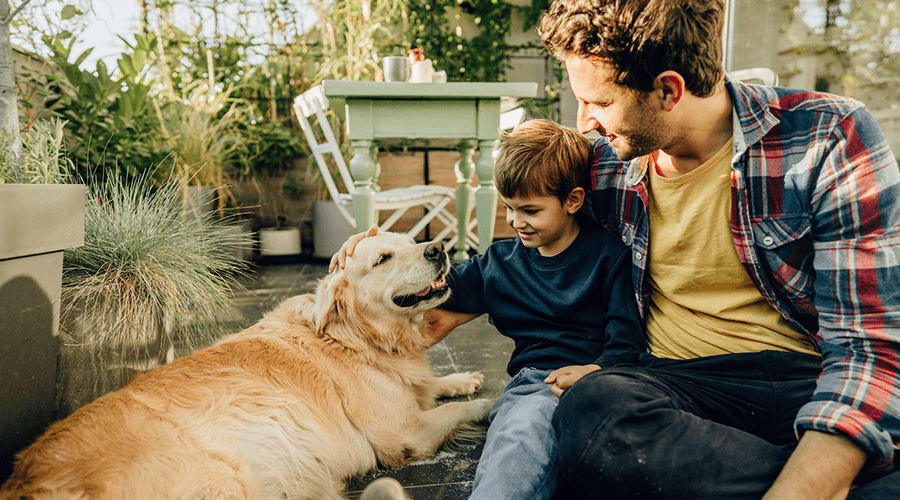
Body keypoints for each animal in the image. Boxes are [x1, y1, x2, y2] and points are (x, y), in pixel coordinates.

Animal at [1, 232, 492, 498]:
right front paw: (488, 405)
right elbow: (453, 411)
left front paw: (463, 378)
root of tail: (23, 480)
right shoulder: (406, 434)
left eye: (411, 241)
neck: (357, 339)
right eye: (383, 259)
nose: (438, 249)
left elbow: (434, 386)